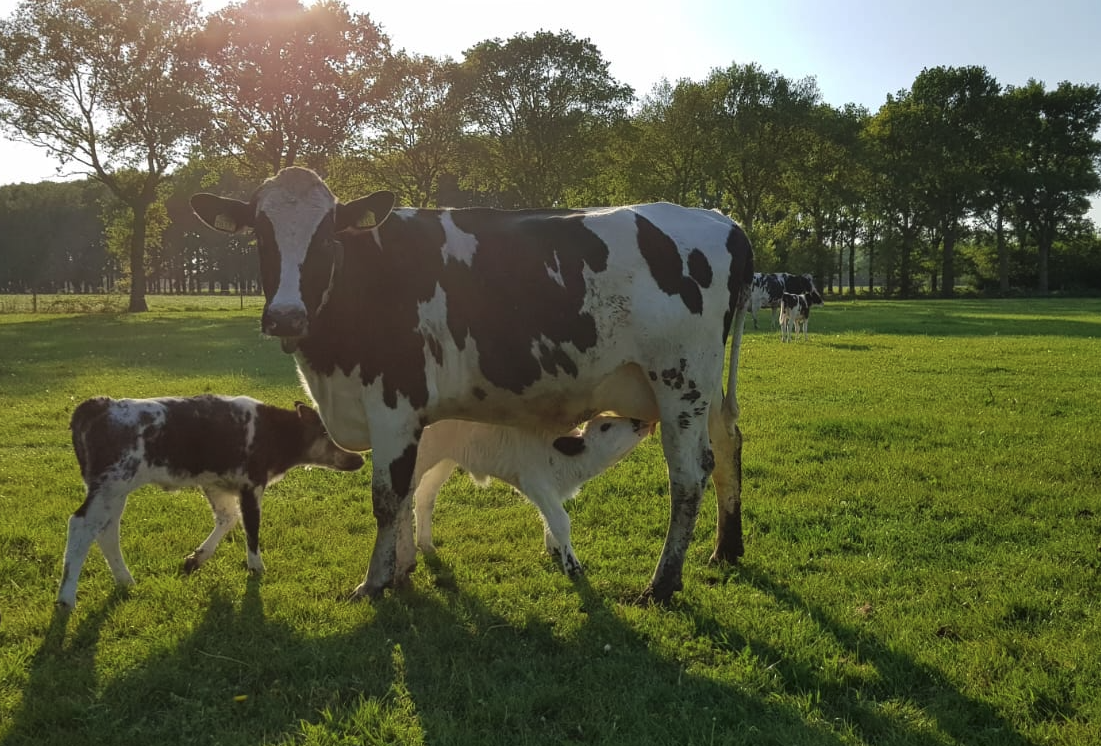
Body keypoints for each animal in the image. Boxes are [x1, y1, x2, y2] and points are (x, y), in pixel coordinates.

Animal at [55, 393, 363, 611]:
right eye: (329, 434)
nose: (359, 459)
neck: (272, 431)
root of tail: (100, 404)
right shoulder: (251, 484)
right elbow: (251, 528)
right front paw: (257, 567)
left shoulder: (217, 485)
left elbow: (228, 518)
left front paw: (196, 559)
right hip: (111, 484)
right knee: (81, 525)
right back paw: (66, 597)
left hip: (114, 491)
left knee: (106, 531)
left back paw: (125, 581)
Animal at [413, 415, 651, 576]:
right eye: (605, 426)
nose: (638, 421)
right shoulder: (537, 485)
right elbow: (561, 522)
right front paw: (572, 565)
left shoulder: (551, 491)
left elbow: (548, 518)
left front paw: (554, 548)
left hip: (443, 462)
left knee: (425, 496)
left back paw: (425, 544)